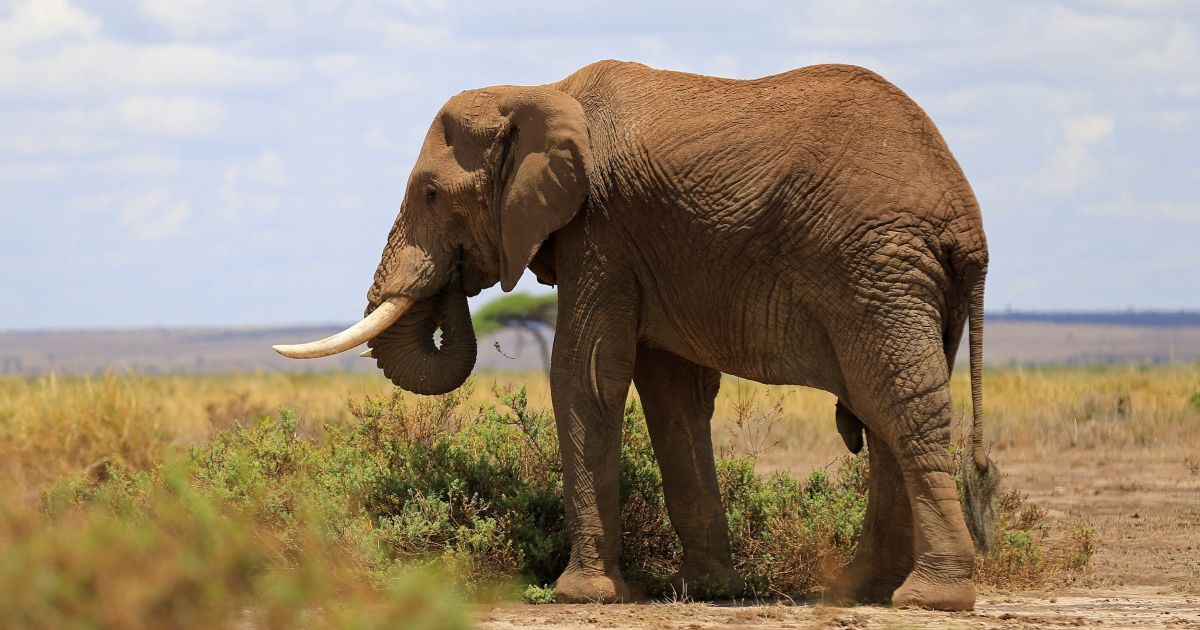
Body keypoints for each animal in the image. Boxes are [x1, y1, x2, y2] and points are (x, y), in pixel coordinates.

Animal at [276, 58, 988, 609]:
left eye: (428, 193)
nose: (455, 277)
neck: (542, 90)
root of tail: (967, 220)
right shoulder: (646, 248)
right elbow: (672, 395)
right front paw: (710, 591)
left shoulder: (603, 228)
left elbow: (586, 373)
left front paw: (579, 595)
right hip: (907, 280)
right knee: (883, 411)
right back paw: (858, 592)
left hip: (876, 270)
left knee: (899, 403)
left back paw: (930, 598)